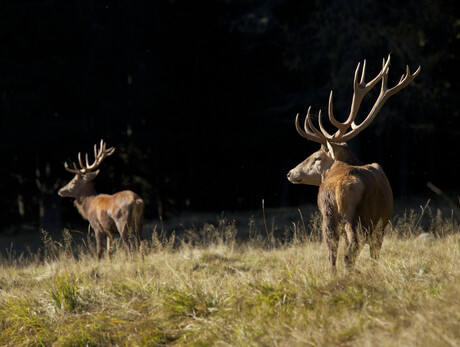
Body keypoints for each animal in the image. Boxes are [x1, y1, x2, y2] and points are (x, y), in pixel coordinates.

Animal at [288, 54, 420, 274]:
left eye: (316, 157)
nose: (290, 173)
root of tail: (339, 188)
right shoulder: (381, 224)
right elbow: (374, 255)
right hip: (357, 218)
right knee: (348, 252)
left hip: (332, 215)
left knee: (334, 252)